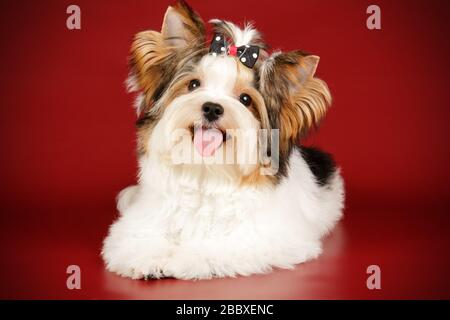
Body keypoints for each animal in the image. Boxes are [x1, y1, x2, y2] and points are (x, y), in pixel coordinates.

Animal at [102, 1, 346, 278]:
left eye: (245, 99)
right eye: (193, 84)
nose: (211, 108)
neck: (205, 171)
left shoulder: (261, 238)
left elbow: (216, 247)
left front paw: (183, 258)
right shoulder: (144, 219)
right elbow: (136, 237)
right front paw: (147, 258)